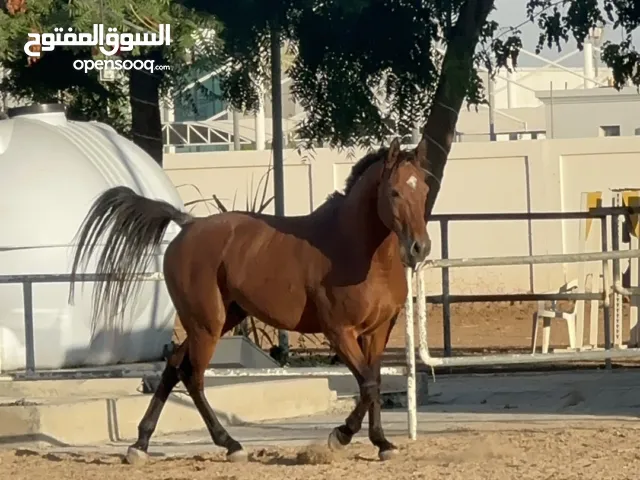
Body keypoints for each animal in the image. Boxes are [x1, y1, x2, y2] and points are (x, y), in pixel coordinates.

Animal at [68, 137, 432, 463]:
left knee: (174, 366)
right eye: (394, 192)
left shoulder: (378, 331)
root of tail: (189, 225)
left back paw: (141, 445)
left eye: (425, 191)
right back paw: (230, 445)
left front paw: (383, 443)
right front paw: (339, 436)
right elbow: (368, 384)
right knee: (193, 375)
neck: (355, 250)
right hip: (206, 324)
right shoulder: (339, 332)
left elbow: (375, 383)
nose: (420, 248)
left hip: (220, 319)